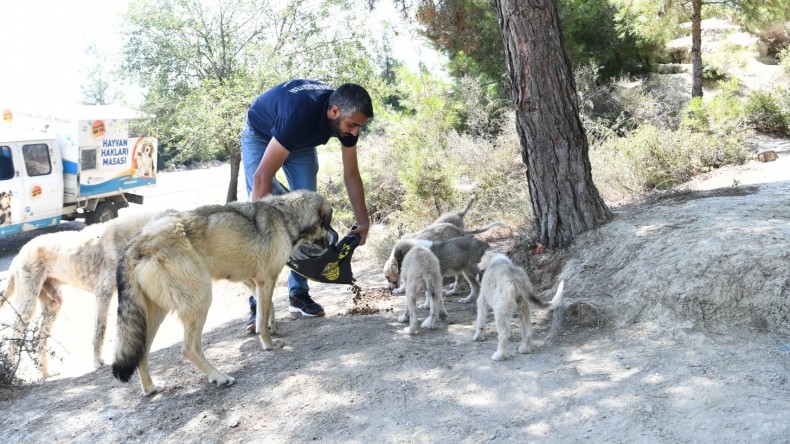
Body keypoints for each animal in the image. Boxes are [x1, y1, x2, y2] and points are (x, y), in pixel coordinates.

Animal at [1, 210, 170, 376]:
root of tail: (19, 254)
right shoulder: (103, 294)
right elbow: (100, 330)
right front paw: (97, 362)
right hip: (27, 308)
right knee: (13, 338)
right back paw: (11, 372)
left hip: (53, 306)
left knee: (38, 340)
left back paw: (46, 373)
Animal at [110, 191, 332, 396]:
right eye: (327, 227)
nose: (329, 245)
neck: (284, 215)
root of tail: (135, 243)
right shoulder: (267, 279)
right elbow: (263, 316)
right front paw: (269, 344)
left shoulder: (252, 280)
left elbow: (266, 309)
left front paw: (270, 325)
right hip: (201, 301)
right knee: (188, 349)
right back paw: (220, 377)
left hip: (155, 317)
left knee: (141, 354)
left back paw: (151, 388)